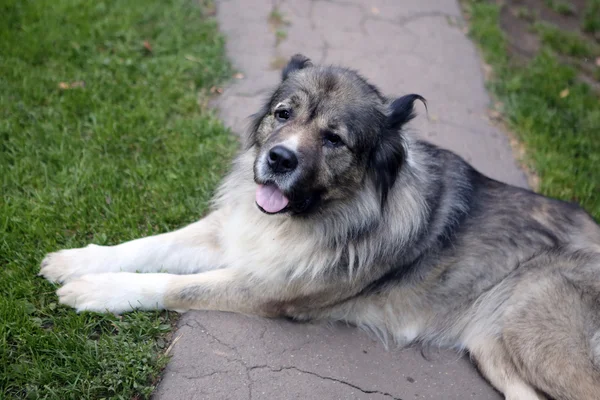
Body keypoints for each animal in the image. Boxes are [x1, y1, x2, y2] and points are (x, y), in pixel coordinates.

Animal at [42, 54, 600, 400]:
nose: (279, 159)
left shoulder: (266, 289)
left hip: (534, 333)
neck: (307, 218)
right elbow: (149, 244)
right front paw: (78, 260)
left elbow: (173, 285)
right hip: (497, 348)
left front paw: (96, 291)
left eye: (334, 139)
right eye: (283, 113)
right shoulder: (230, 234)